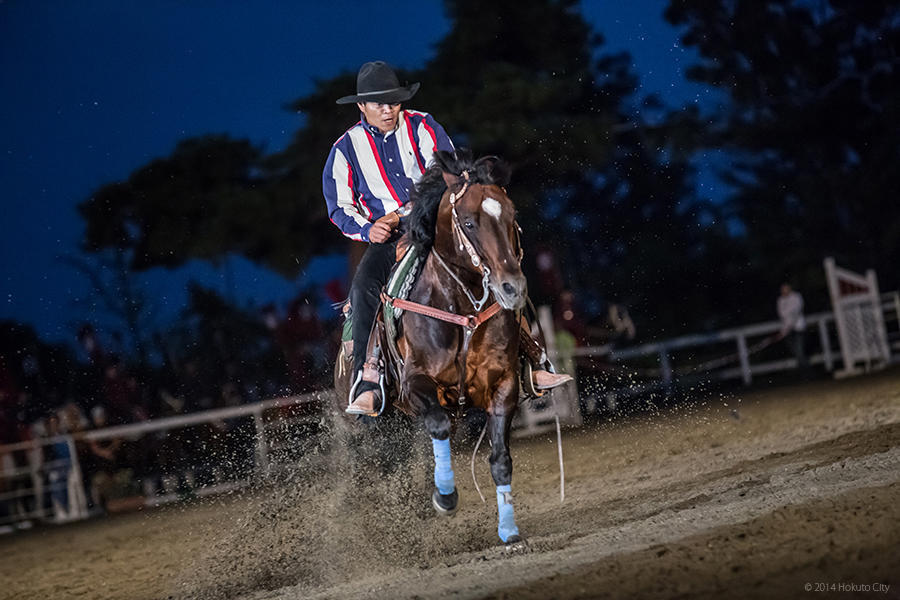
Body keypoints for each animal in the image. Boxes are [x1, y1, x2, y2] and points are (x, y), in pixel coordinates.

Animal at [334, 149, 524, 544]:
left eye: (511, 214)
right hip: (360, 428)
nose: (512, 288)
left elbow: (500, 460)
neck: (461, 307)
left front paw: (509, 529)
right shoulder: (415, 385)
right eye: (468, 223)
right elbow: (438, 426)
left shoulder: (503, 384)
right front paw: (445, 495)